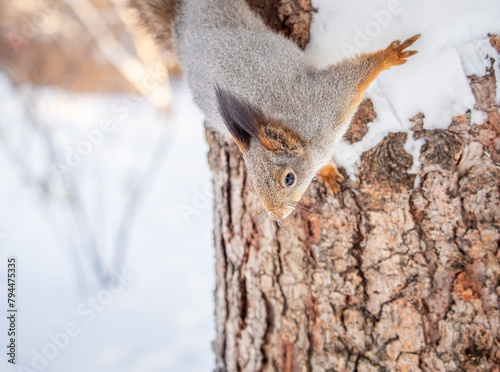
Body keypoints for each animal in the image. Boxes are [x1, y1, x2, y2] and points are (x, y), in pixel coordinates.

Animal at [129, 0, 418, 221]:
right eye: (254, 186)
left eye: (289, 179)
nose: (276, 217)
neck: (308, 139)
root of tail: (181, 24)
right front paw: (326, 172)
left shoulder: (327, 101)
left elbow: (357, 73)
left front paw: (390, 55)